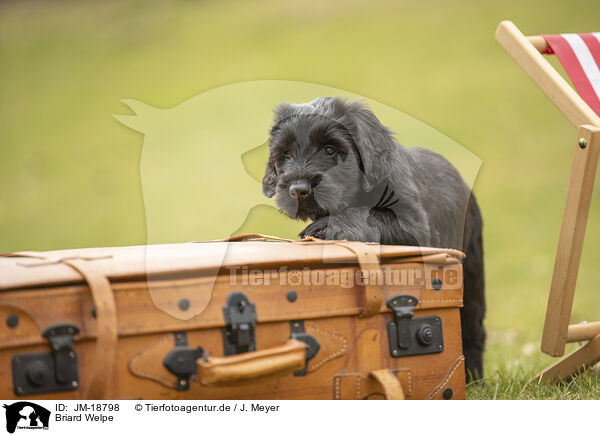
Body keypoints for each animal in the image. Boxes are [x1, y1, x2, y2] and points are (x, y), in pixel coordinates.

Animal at [264, 97, 488, 380]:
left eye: (330, 149)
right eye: (285, 154)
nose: (298, 190)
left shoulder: (414, 227)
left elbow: (366, 214)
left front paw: (325, 228)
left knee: (473, 325)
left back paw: (473, 377)